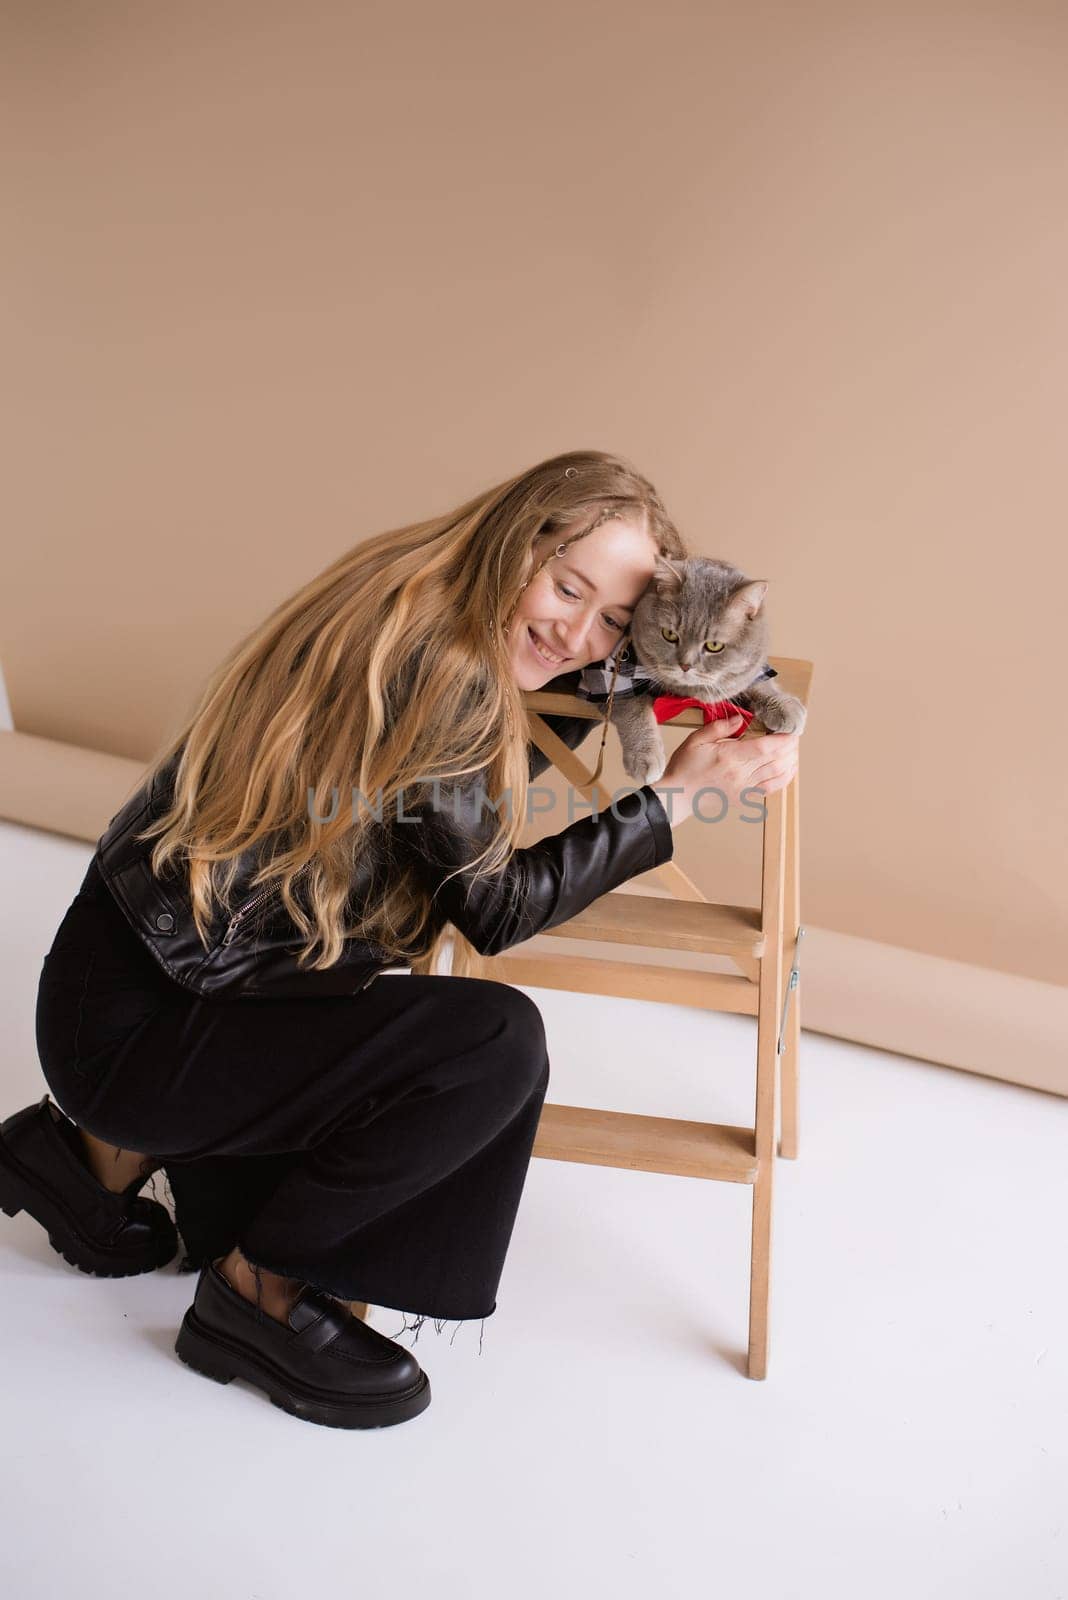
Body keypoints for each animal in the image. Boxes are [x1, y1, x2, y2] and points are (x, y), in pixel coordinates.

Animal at [578, 556, 805, 787]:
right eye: (669, 634)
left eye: (714, 646)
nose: (685, 665)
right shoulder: (607, 676)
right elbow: (633, 709)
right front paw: (645, 756)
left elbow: (758, 681)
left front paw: (785, 706)